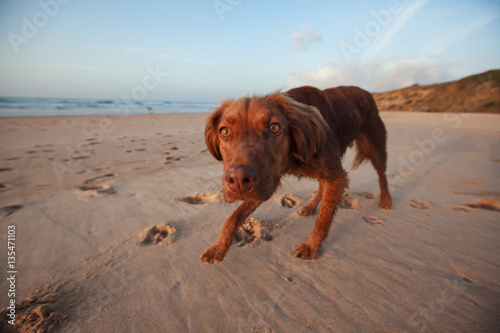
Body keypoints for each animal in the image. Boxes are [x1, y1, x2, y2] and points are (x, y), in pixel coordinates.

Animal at [201, 87, 392, 264]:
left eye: (274, 127)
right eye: (224, 131)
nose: (239, 180)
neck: (293, 157)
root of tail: (366, 92)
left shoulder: (336, 176)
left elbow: (323, 219)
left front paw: (311, 246)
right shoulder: (267, 181)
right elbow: (234, 216)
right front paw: (218, 247)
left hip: (374, 144)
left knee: (382, 174)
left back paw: (386, 200)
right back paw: (310, 206)